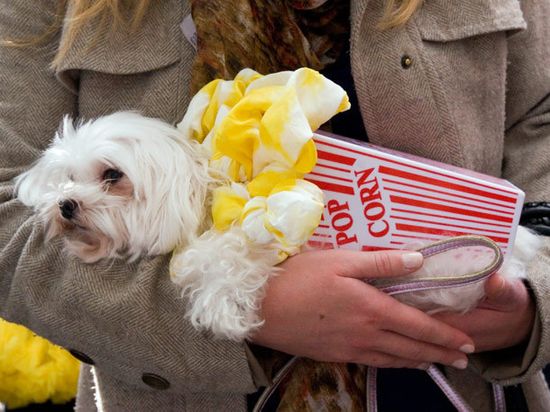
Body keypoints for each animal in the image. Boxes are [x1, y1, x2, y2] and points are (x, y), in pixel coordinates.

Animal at [17, 111, 544, 340]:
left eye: (113, 176)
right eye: (66, 178)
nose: (65, 205)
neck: (202, 190)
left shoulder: (253, 234)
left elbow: (221, 259)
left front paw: (222, 309)